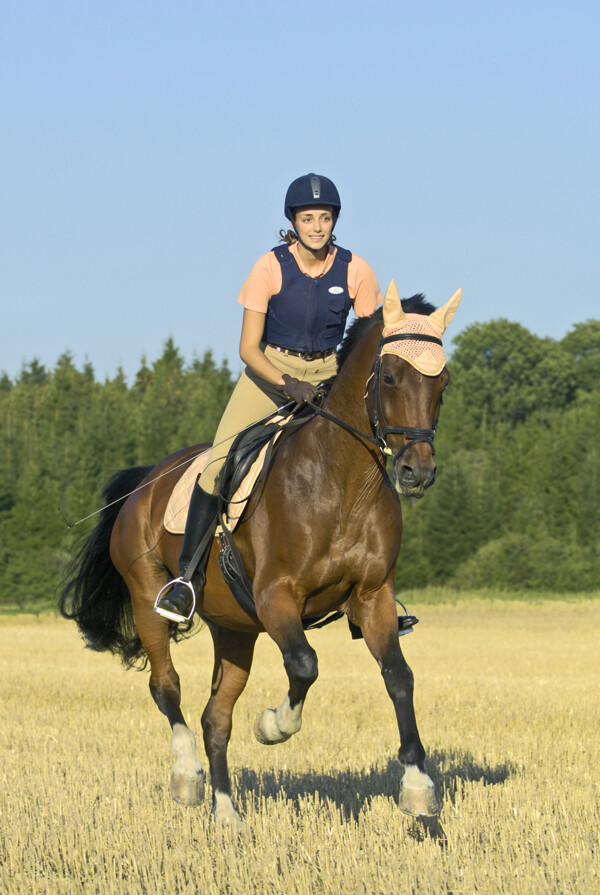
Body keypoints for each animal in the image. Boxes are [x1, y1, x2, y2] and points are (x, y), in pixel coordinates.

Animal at [61, 284, 462, 828]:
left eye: (442, 382)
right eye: (391, 377)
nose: (416, 473)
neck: (343, 481)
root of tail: (144, 481)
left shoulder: (373, 596)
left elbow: (399, 678)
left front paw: (419, 788)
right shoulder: (277, 597)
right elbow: (305, 665)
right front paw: (273, 725)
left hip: (234, 628)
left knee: (215, 717)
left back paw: (227, 814)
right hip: (148, 598)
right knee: (167, 687)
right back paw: (187, 776)